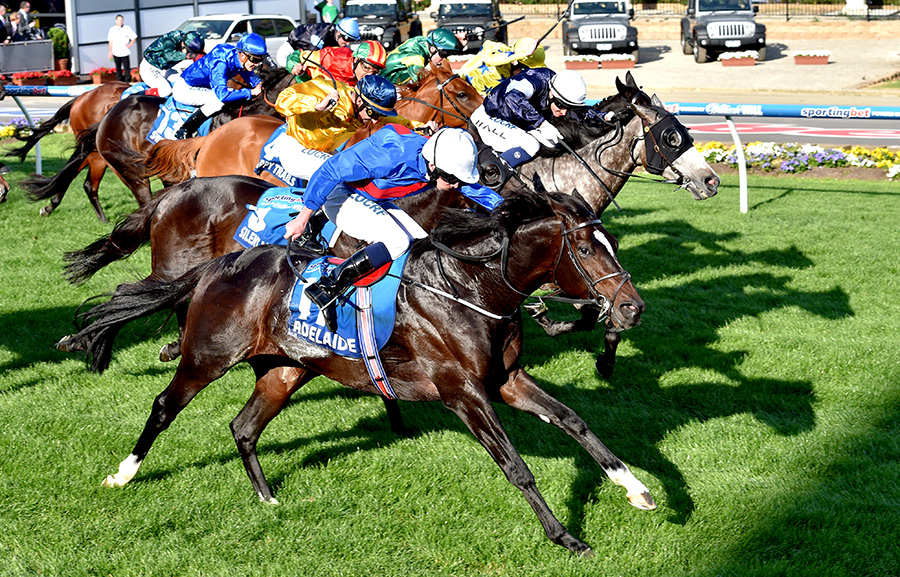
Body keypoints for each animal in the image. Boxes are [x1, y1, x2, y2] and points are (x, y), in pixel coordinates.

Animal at [7, 79, 131, 218]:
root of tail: (84, 95)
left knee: (70, 172)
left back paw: (50, 206)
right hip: (96, 149)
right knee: (87, 182)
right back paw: (103, 219)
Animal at [56, 188, 652, 552]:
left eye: (613, 242)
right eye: (584, 247)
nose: (632, 308)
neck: (470, 289)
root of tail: (218, 265)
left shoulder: (505, 382)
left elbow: (574, 421)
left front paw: (637, 489)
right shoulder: (464, 393)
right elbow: (517, 467)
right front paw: (565, 537)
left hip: (286, 370)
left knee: (243, 427)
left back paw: (268, 498)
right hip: (208, 356)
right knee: (163, 407)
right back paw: (123, 473)